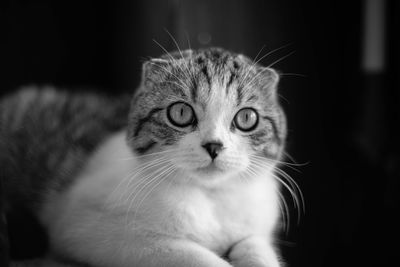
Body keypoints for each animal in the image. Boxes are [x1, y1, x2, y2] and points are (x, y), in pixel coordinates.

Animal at [2, 48, 290, 267]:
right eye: (181, 113)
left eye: (247, 117)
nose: (213, 146)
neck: (209, 197)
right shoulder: (88, 228)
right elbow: (190, 254)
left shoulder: (254, 228)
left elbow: (256, 248)